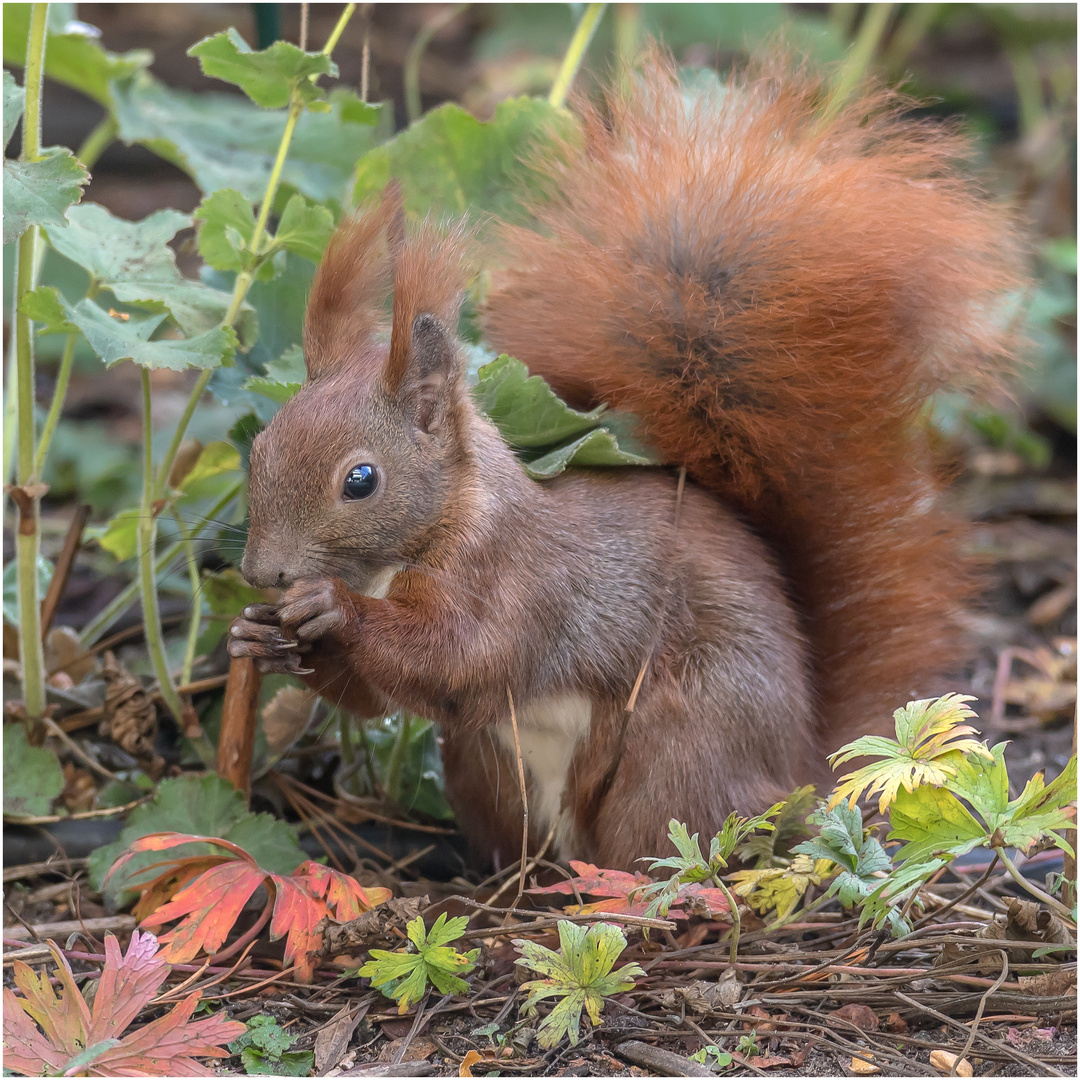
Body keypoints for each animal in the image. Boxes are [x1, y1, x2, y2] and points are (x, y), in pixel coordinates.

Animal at [230, 56, 1019, 868]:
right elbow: (382, 699)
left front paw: (332, 607)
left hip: (675, 754)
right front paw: (258, 637)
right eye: (259, 448)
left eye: (360, 481)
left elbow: (460, 660)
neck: (423, 539)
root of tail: (797, 768)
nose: (262, 573)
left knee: (674, 849)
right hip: (487, 769)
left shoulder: (523, 584)